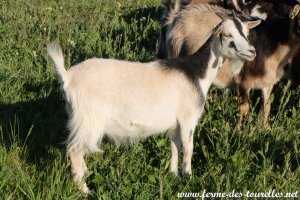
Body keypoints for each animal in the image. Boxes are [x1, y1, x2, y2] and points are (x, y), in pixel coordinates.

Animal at [48, 8, 256, 193]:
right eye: (227, 35)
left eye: (246, 33)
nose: (252, 51)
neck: (195, 73)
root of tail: (67, 77)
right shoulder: (188, 119)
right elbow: (189, 147)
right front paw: (188, 177)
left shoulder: (175, 123)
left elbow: (175, 146)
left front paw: (173, 175)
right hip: (90, 120)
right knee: (74, 151)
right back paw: (85, 190)